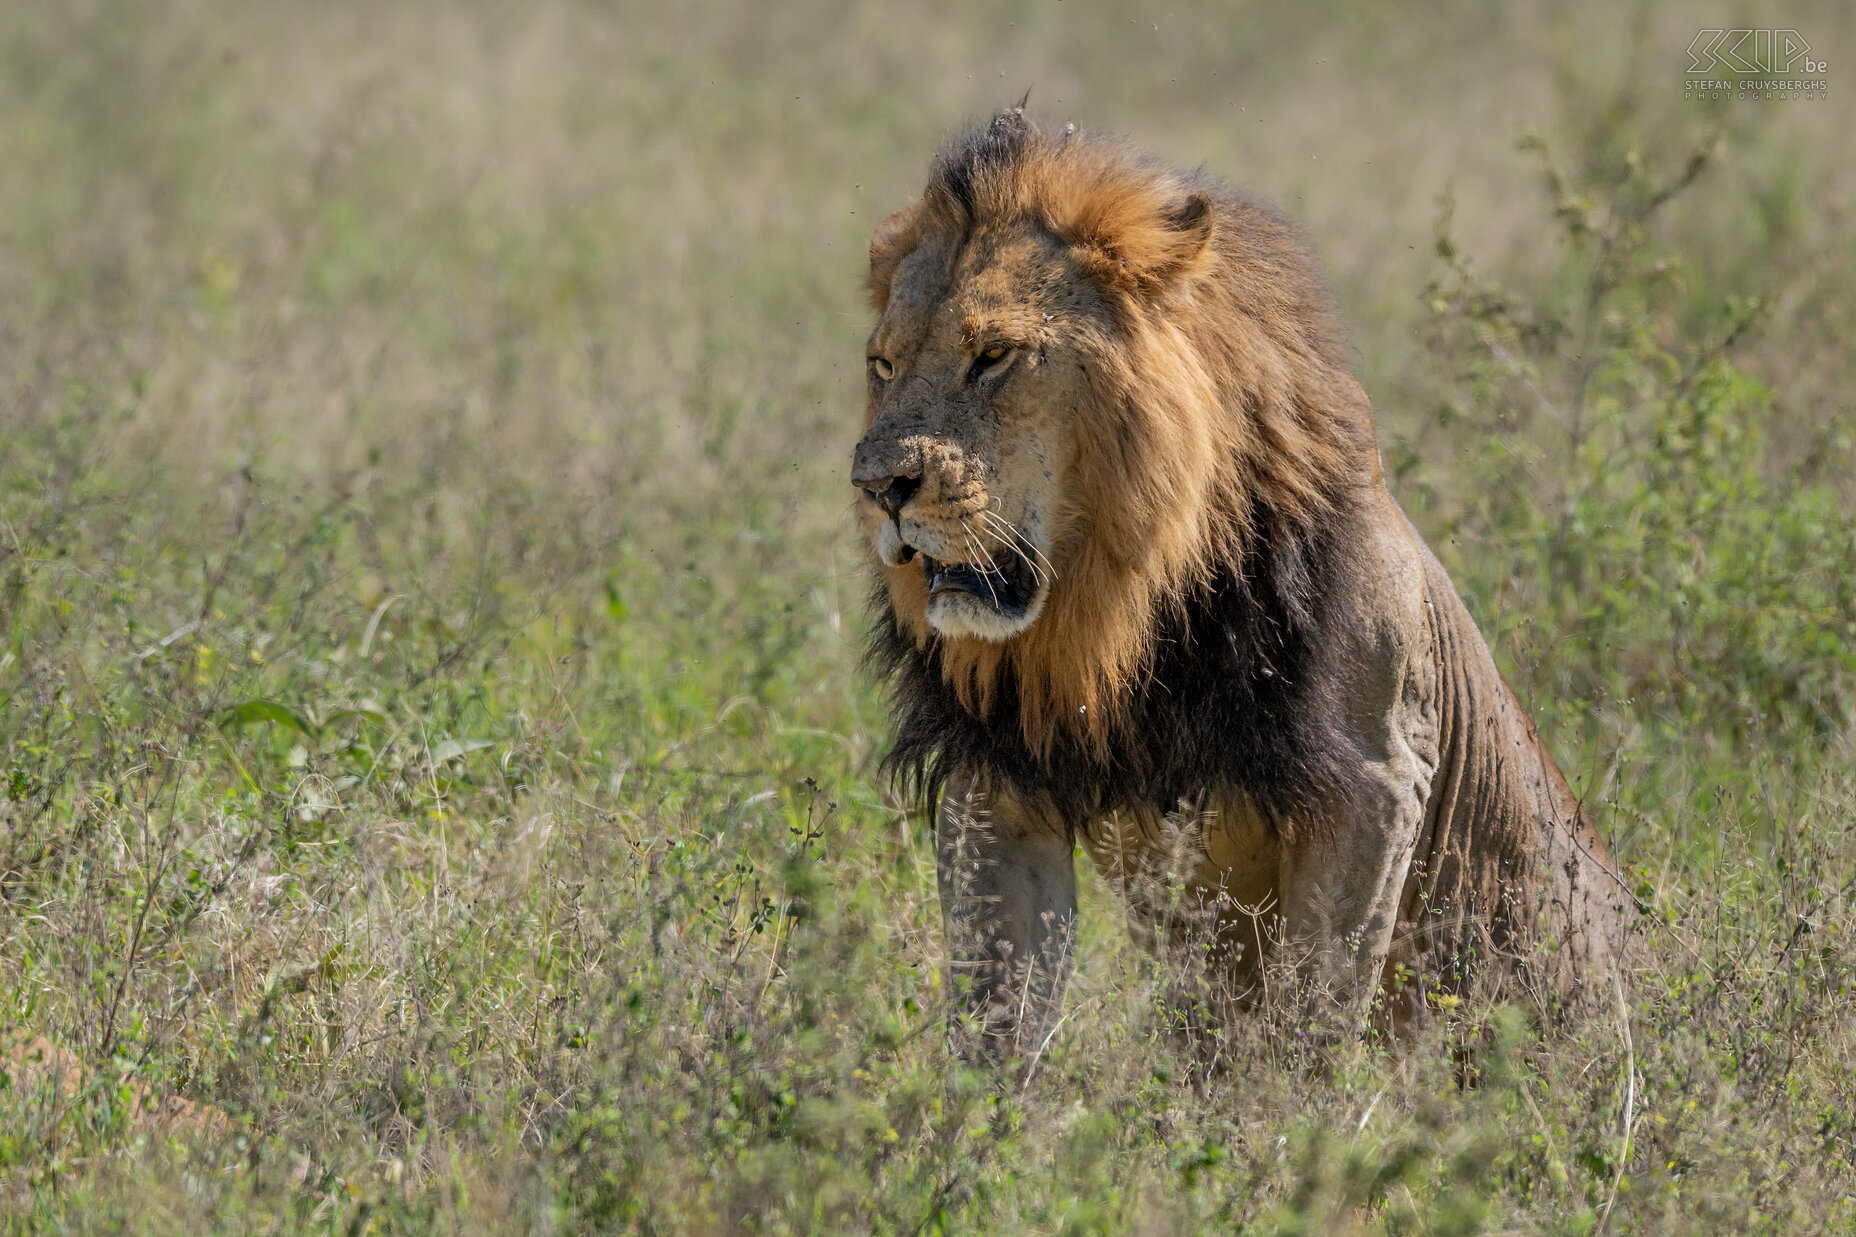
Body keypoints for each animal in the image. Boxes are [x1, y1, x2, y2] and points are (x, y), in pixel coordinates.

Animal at [850, 108, 1625, 1062]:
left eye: (993, 355)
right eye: (883, 365)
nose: (876, 486)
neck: (1112, 612)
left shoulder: (1379, 779)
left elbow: (1310, 1023)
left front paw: (1279, 1108)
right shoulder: (993, 783)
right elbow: (999, 1021)